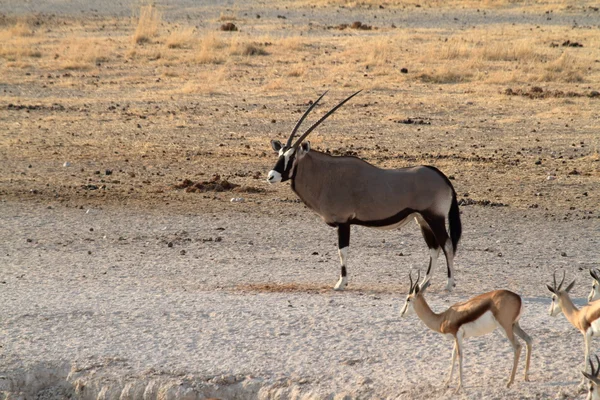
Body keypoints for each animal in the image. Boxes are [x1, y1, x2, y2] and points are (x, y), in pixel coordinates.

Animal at [264, 91, 462, 290]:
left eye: (292, 157)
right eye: (279, 154)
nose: (271, 176)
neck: (325, 175)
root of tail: (443, 178)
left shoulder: (343, 222)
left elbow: (342, 251)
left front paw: (341, 283)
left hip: (434, 217)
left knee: (447, 245)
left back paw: (449, 284)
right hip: (422, 219)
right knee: (434, 248)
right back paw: (423, 284)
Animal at [400, 270, 532, 392]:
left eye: (408, 299)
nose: (401, 313)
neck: (443, 318)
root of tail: (518, 297)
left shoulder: (457, 335)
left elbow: (460, 356)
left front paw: (459, 386)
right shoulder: (457, 337)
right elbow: (453, 356)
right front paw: (447, 383)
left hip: (505, 327)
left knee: (517, 346)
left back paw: (509, 382)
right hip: (514, 325)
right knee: (528, 339)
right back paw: (526, 377)